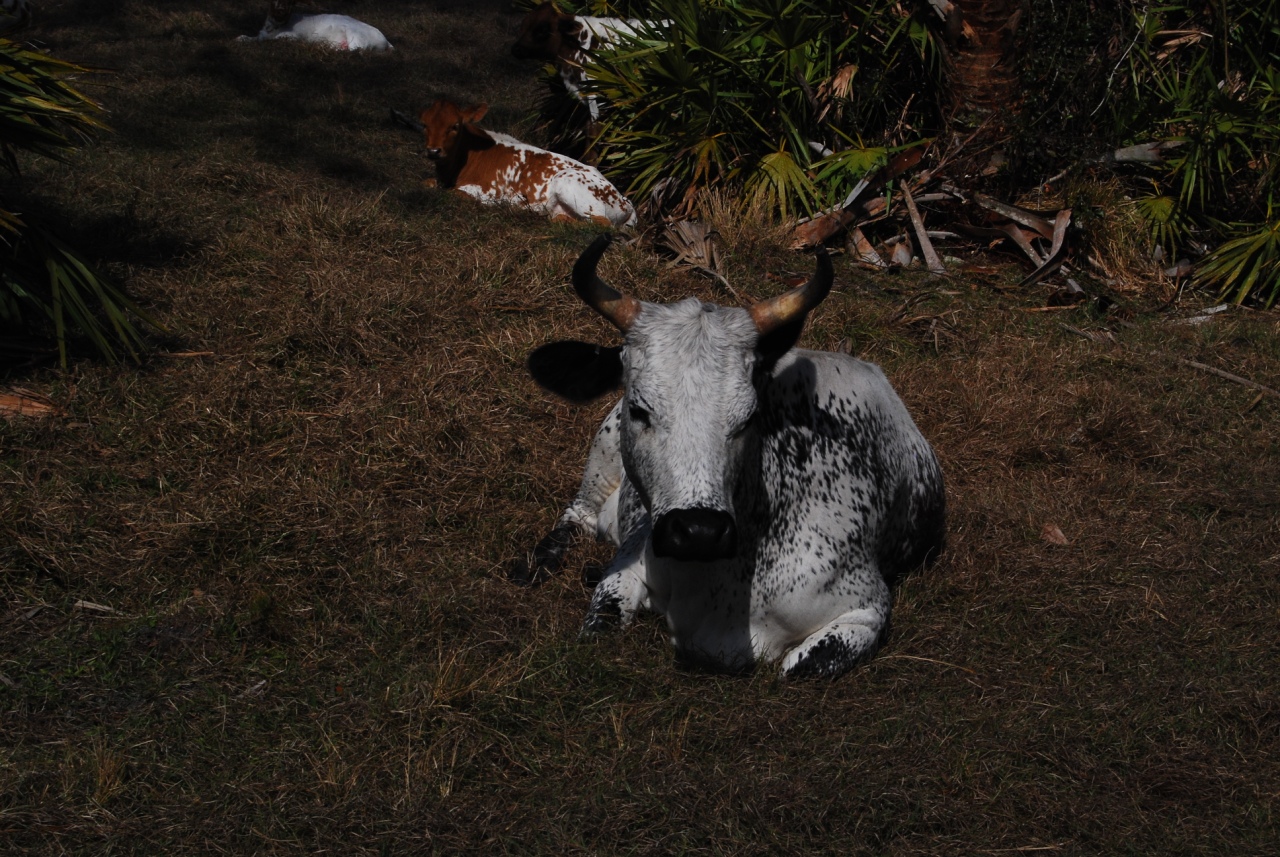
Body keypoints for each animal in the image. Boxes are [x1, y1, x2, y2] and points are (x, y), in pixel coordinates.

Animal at [238, 1, 392, 51]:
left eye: (290, 4)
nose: (280, 14)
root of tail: (386, 42)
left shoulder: (292, 35)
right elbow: (251, 38)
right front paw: (239, 39)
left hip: (356, 35)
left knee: (356, 49)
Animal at [414, 100, 636, 228]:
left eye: (455, 126)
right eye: (424, 125)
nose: (433, 151)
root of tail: (626, 201)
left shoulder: (489, 192)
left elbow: (453, 193)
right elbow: (426, 184)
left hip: (569, 183)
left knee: (602, 223)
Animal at [511, 235, 945, 679]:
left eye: (749, 416)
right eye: (639, 409)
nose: (699, 531)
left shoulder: (866, 608)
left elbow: (798, 667)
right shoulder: (629, 563)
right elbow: (599, 624)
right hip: (601, 453)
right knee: (578, 515)